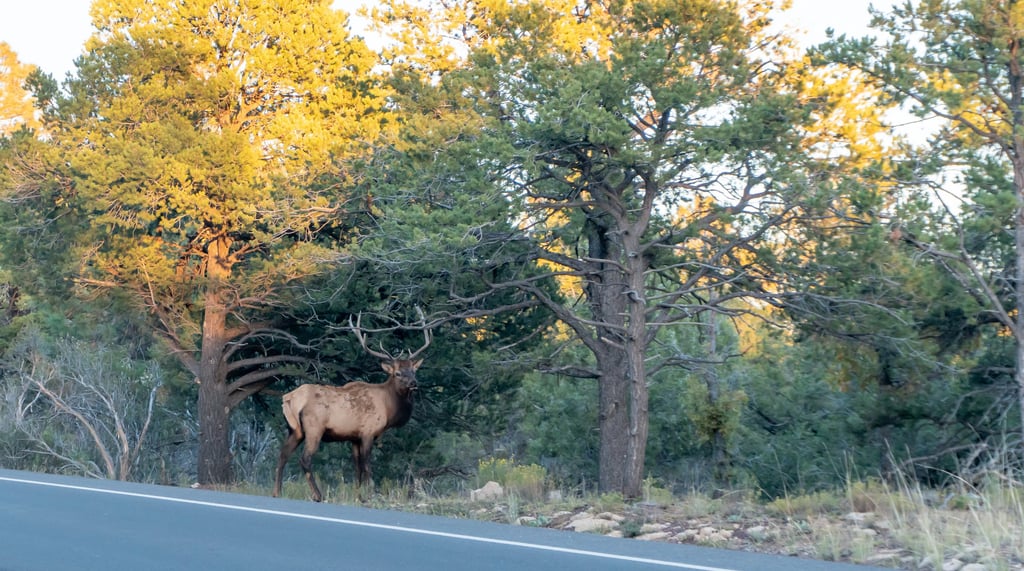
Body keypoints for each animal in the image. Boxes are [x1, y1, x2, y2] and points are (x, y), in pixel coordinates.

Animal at [272, 315, 431, 502]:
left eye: (414, 371)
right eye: (397, 373)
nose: (414, 383)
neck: (388, 408)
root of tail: (290, 398)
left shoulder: (354, 437)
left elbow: (357, 466)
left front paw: (358, 495)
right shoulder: (368, 431)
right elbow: (367, 465)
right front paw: (370, 494)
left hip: (294, 430)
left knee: (283, 454)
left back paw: (277, 492)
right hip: (314, 428)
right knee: (305, 459)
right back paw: (318, 495)